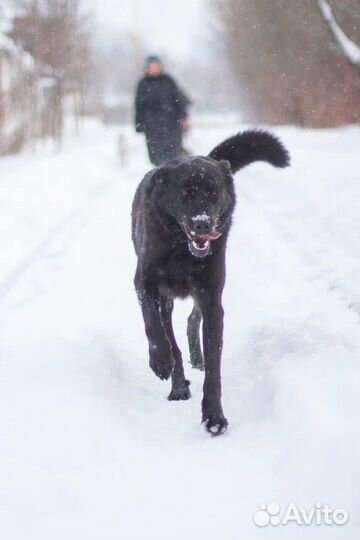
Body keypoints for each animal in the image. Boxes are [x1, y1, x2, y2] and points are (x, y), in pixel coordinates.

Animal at [132, 130, 290, 434]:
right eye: (186, 194)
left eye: (214, 193)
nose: (203, 223)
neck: (181, 250)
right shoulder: (145, 283)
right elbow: (152, 326)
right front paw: (160, 361)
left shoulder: (211, 299)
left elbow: (214, 367)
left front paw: (214, 416)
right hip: (166, 299)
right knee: (170, 332)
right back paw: (178, 385)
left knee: (192, 320)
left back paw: (195, 360)